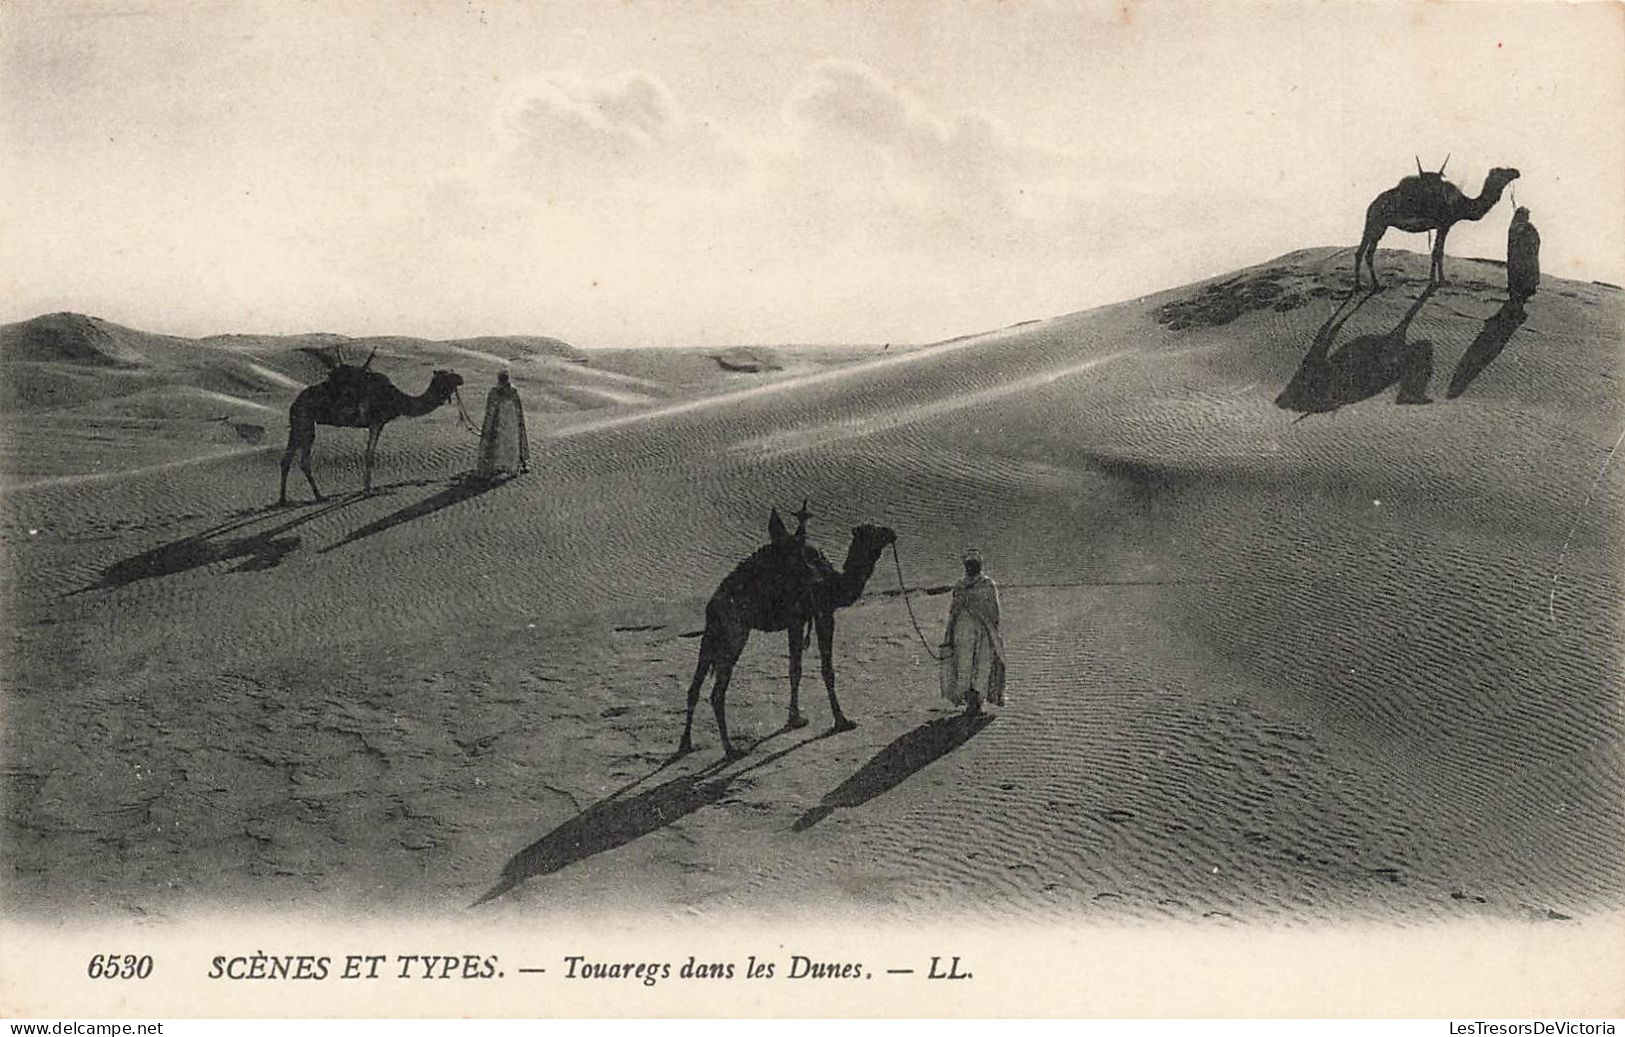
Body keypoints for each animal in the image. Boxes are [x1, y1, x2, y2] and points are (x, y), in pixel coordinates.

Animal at [279, 357, 464, 503]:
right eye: (446, 375)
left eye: (452, 373)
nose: (461, 378)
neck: (396, 399)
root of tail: (295, 403)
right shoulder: (376, 422)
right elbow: (369, 455)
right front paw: (368, 491)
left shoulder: (377, 424)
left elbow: (369, 454)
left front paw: (367, 488)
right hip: (305, 422)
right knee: (304, 461)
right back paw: (319, 496)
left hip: (298, 424)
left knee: (286, 459)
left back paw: (283, 500)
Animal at [679, 507, 897, 760]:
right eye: (874, 530)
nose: (892, 532)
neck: (833, 584)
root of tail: (711, 607)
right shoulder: (822, 613)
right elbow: (826, 671)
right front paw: (842, 721)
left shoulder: (798, 621)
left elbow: (795, 670)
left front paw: (796, 718)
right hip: (735, 634)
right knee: (716, 693)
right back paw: (732, 750)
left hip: (711, 636)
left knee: (694, 687)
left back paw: (685, 744)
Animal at [1352, 161, 1514, 292]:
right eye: (1502, 171)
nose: (1516, 172)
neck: (1462, 204)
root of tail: (1372, 205)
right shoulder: (1444, 225)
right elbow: (1437, 252)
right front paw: (1438, 281)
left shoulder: (1441, 226)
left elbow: (1437, 252)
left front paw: (1437, 280)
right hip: (1378, 222)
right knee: (1366, 252)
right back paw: (1367, 285)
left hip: (1376, 224)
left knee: (1363, 252)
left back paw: (1367, 285)